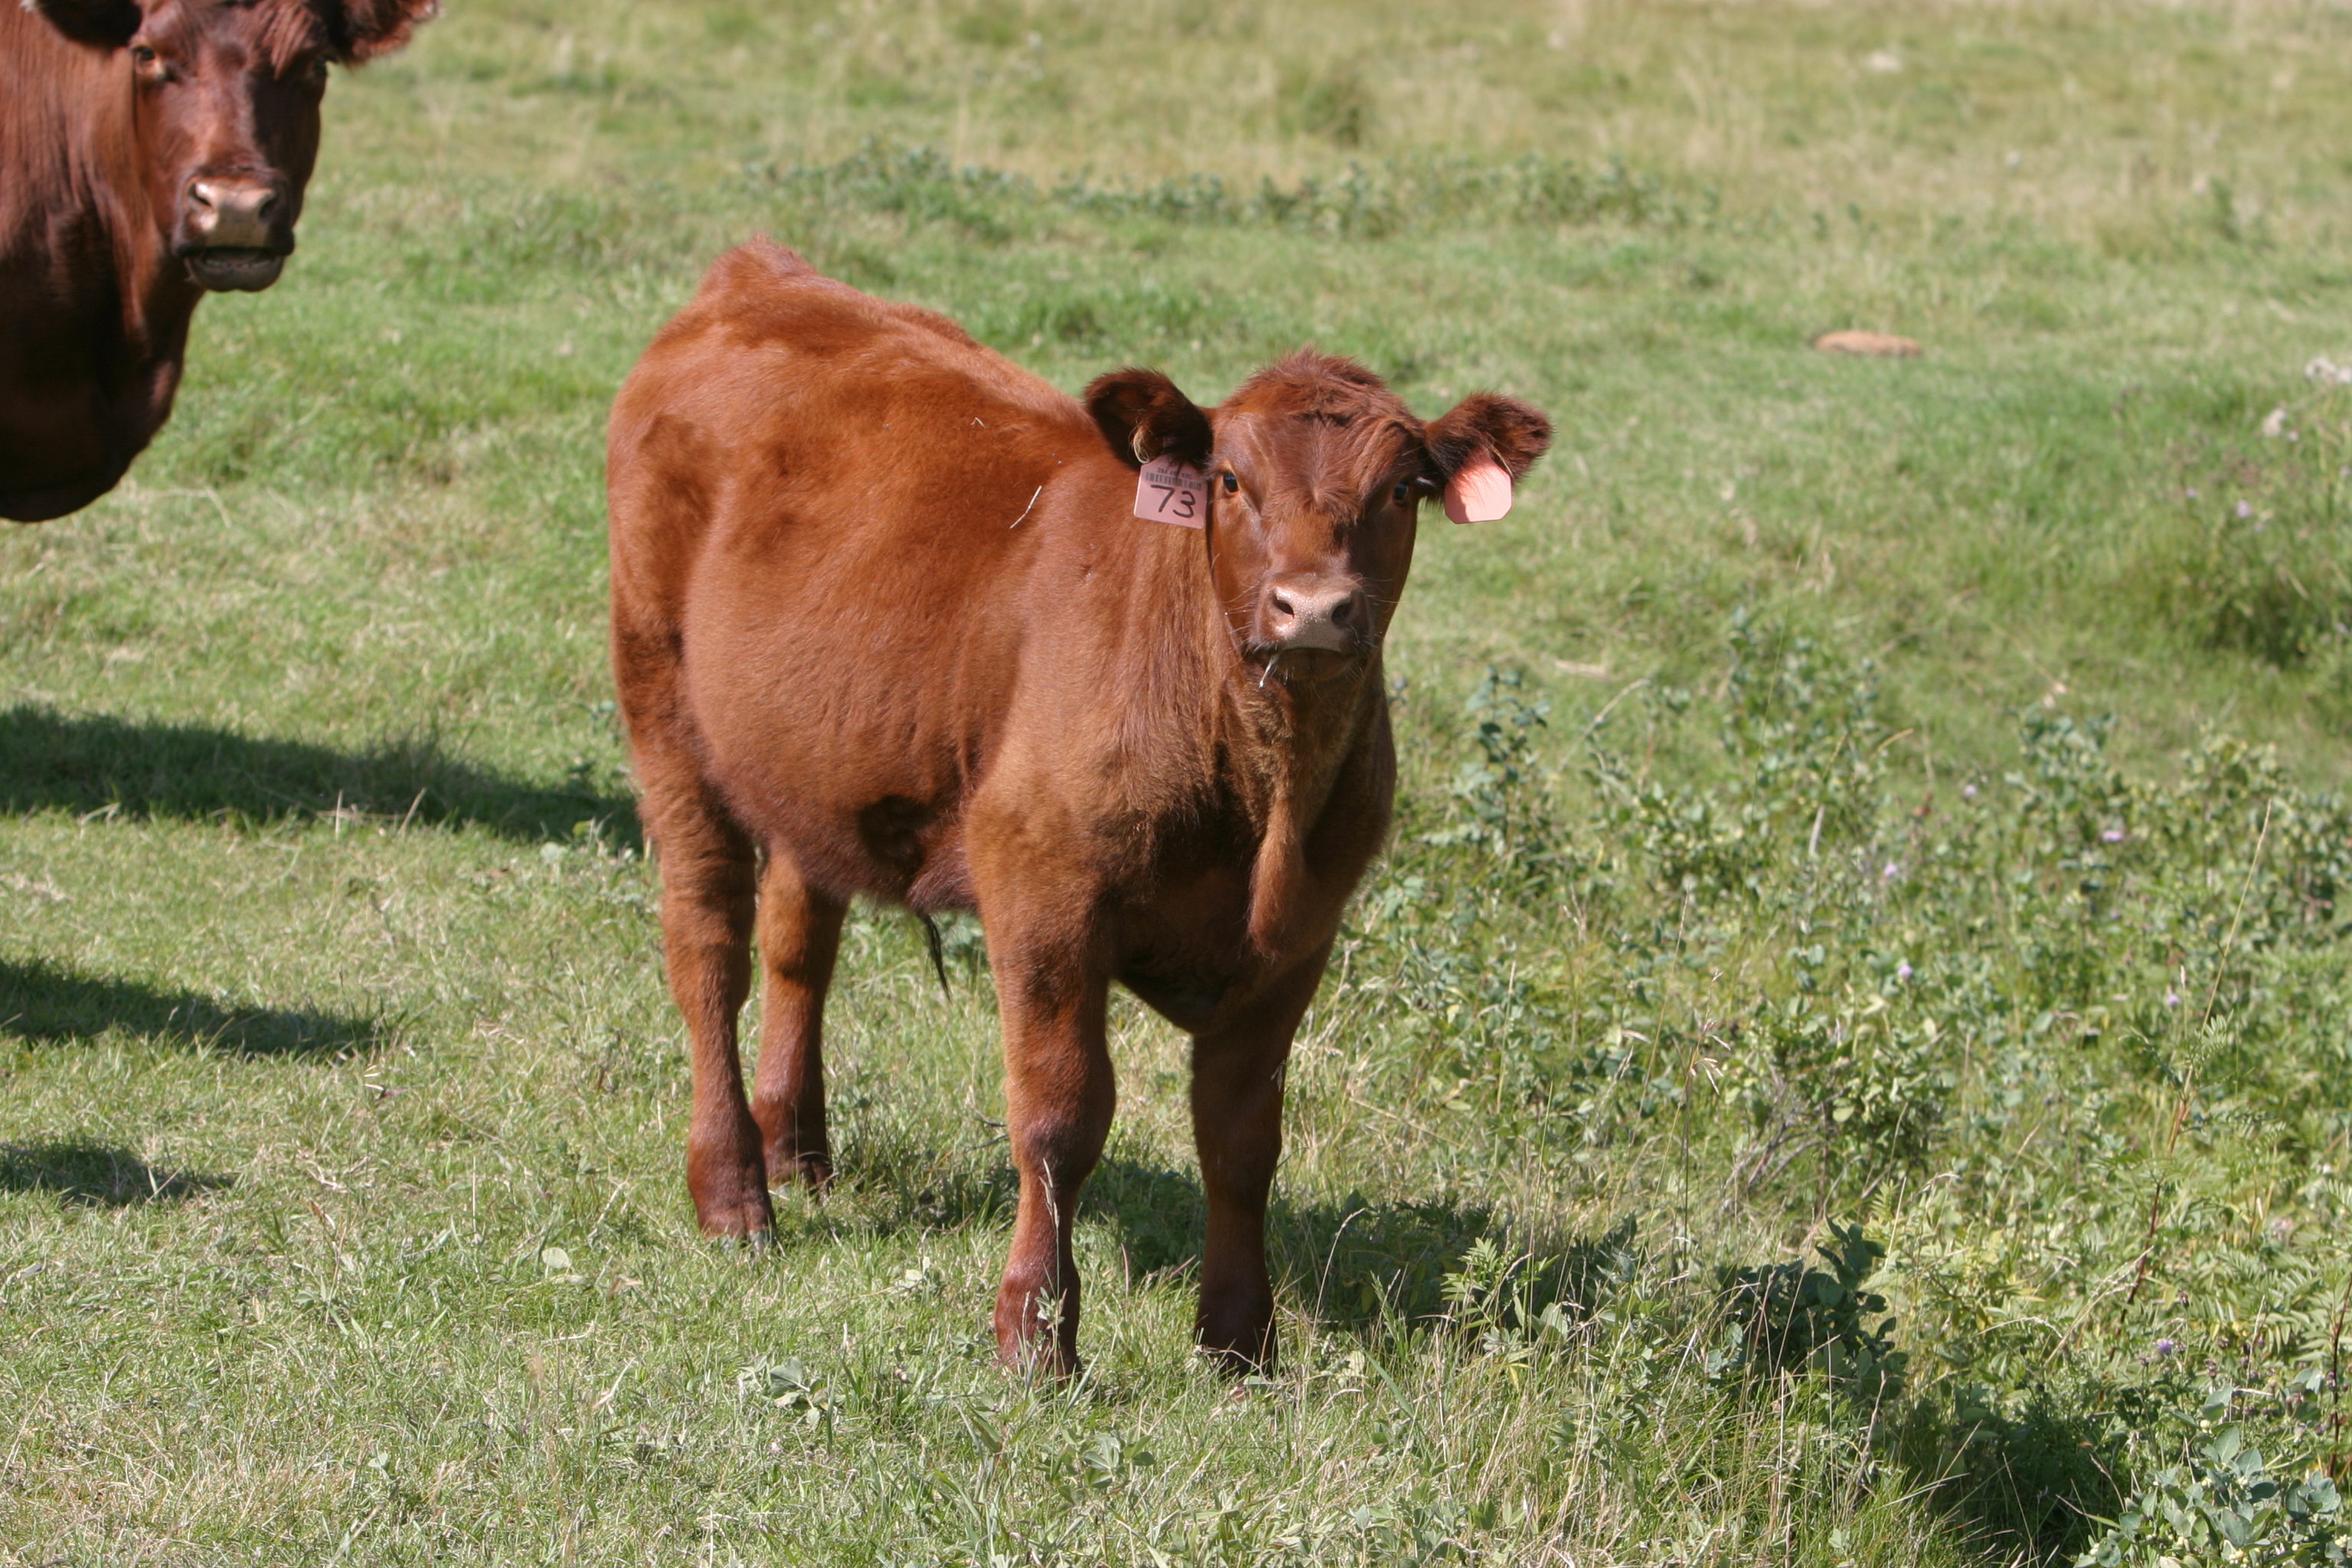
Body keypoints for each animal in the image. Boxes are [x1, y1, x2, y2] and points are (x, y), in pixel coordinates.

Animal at [608, 242, 1550, 1375]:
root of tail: (760, 274)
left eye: (1405, 488)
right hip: (664, 707)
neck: (1262, 794)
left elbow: (1242, 1137)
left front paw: (1241, 1340)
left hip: (811, 755)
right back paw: (735, 1193)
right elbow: (1060, 1116)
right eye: (1230, 480)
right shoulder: (1044, 896)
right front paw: (1035, 1332)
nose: (1314, 607)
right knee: (709, 948)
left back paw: (798, 1149)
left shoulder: (1301, 937)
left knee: (801, 939)